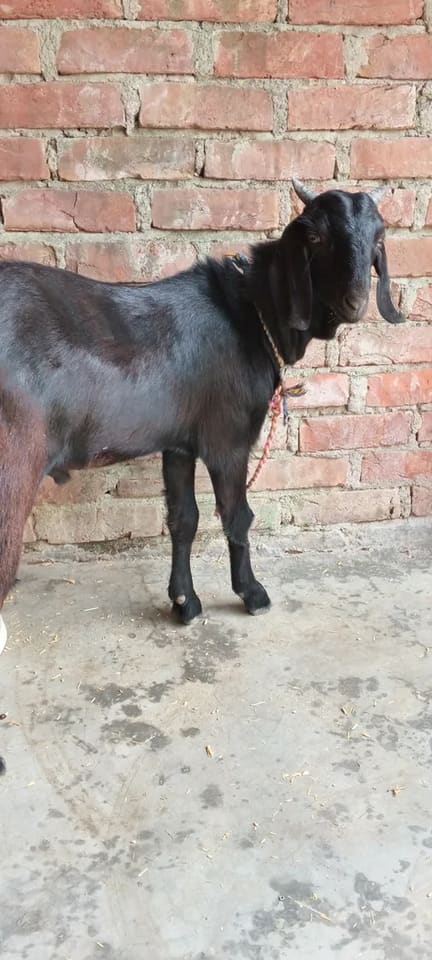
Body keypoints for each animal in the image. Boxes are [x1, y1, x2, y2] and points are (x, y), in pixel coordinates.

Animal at [0, 180, 403, 640]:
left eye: (378, 238)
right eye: (315, 237)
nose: (356, 300)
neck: (251, 313)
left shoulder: (179, 443)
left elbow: (183, 518)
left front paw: (184, 602)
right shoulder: (227, 439)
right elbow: (237, 515)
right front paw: (252, 594)